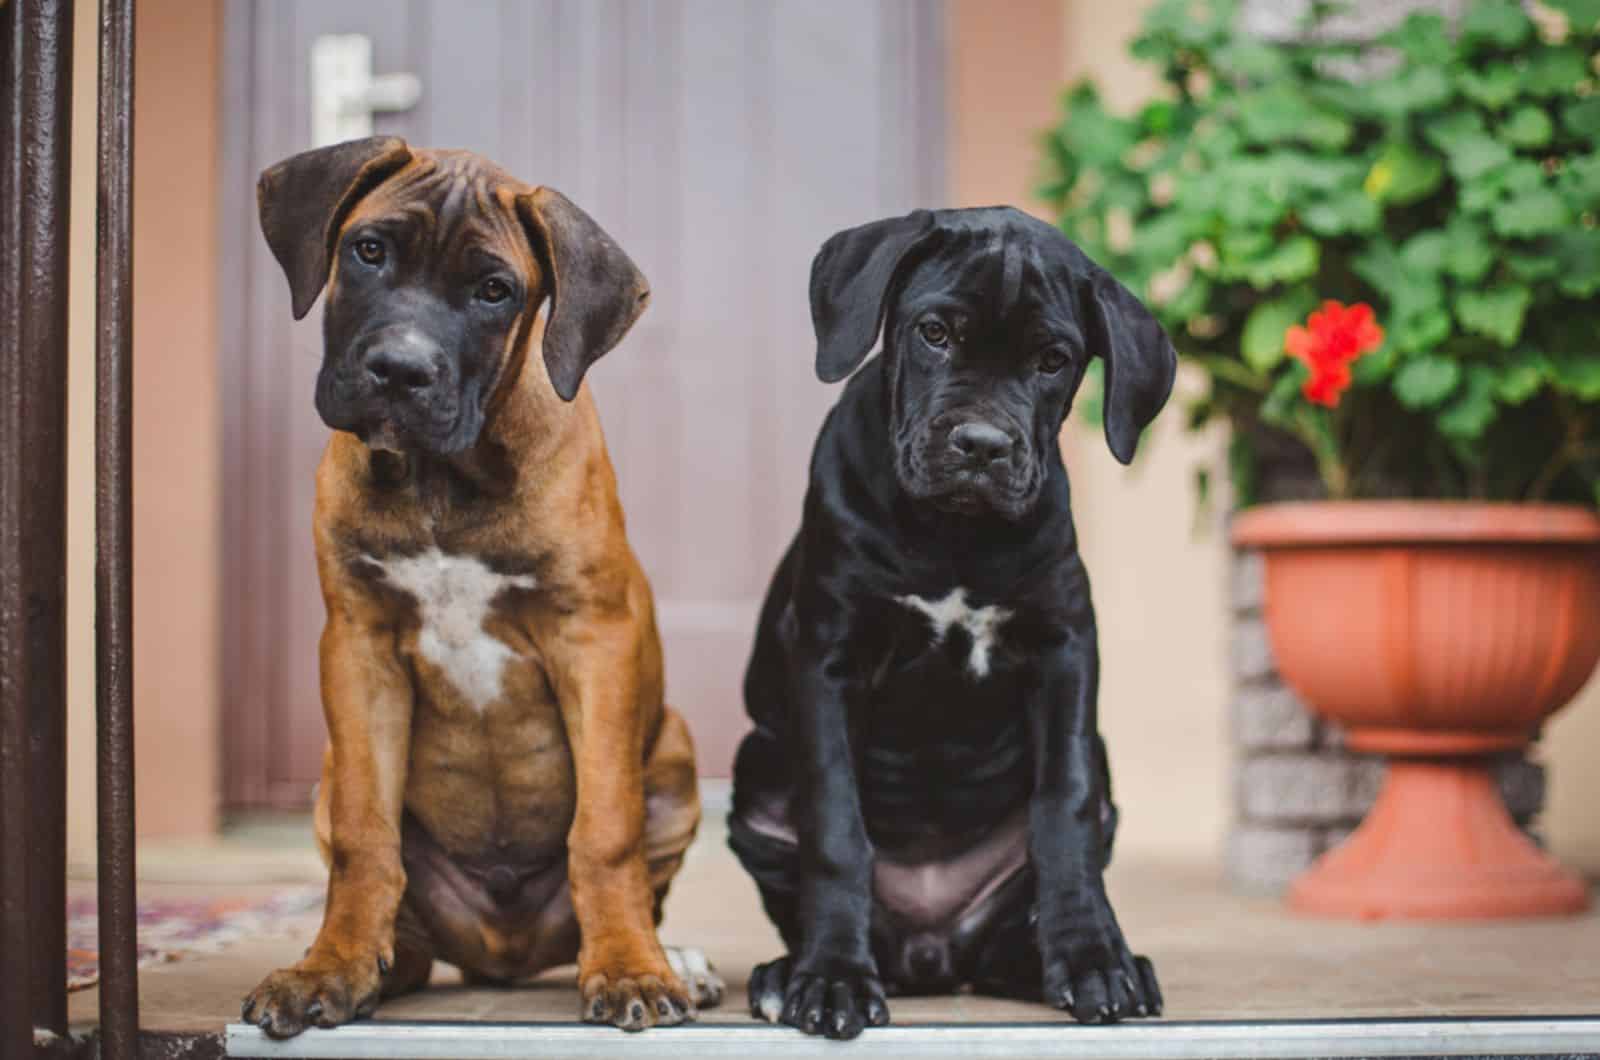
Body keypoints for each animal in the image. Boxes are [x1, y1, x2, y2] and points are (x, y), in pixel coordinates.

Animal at [236, 139, 720, 1037]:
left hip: (672, 753)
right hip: (327, 773)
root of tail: (505, 954)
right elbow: (365, 836)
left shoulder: (592, 641)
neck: (442, 479)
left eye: (495, 291)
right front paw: (328, 967)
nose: (400, 371)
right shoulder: (356, 648)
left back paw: (673, 957)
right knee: (401, 918)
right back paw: (374, 967)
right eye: (368, 250)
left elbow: (605, 831)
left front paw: (631, 969)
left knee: (640, 877)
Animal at [729, 204, 1177, 1037]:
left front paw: (1094, 959)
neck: (953, 534)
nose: (983, 445)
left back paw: (1055, 963)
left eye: (1053, 360)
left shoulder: (1065, 648)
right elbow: (836, 826)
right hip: (758, 775)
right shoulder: (829, 657)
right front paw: (832, 978)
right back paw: (789, 972)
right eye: (934, 332)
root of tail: (933, 954)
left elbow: (1063, 805)